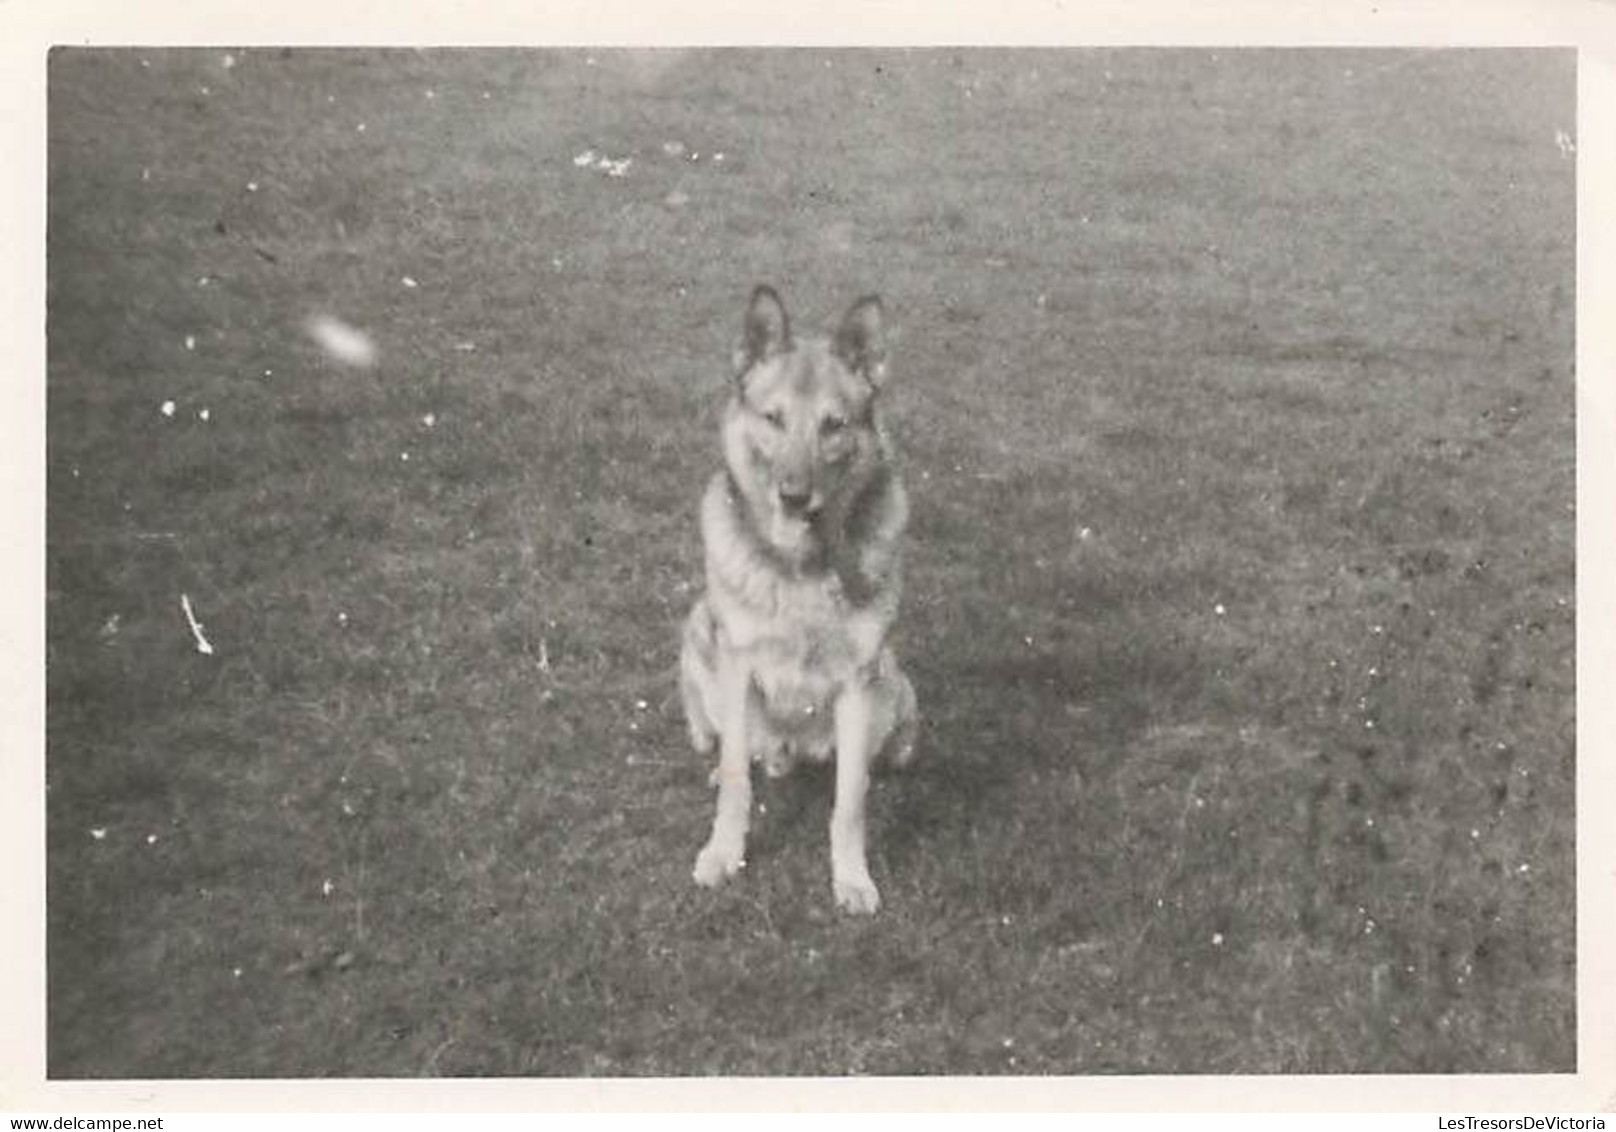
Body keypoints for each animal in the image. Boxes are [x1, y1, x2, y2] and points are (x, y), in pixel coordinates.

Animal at [678, 287, 917, 918]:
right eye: (773, 419)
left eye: (833, 425)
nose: (792, 495)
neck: (801, 568)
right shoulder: (738, 667)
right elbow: (738, 779)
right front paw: (724, 855)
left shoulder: (859, 682)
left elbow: (850, 800)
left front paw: (851, 878)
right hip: (700, 635)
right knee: (733, 749)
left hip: (896, 688)